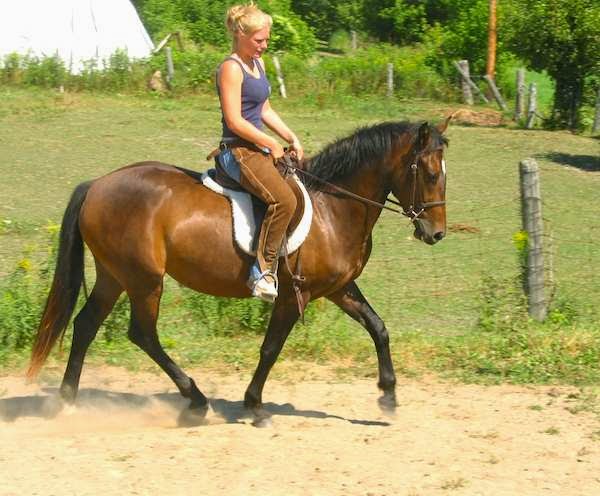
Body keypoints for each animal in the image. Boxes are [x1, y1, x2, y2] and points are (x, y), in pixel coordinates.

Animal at [28, 117, 450, 426]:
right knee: (142, 334)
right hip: (144, 280)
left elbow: (379, 328)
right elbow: (271, 348)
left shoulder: (338, 288)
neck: (333, 207)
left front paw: (389, 395)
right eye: (430, 174)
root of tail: (98, 184)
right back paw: (195, 400)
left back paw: (67, 401)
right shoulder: (293, 296)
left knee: (85, 325)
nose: (436, 233)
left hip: (114, 275)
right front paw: (255, 405)